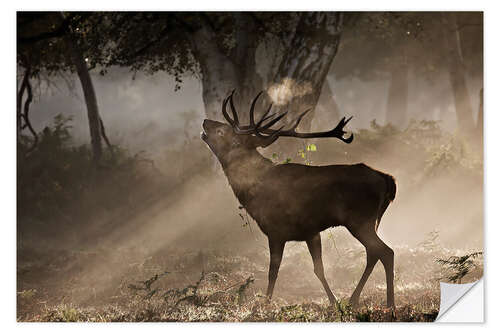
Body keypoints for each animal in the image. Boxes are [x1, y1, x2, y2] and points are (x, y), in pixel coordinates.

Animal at [201, 90, 396, 306]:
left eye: (223, 132)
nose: (206, 122)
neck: (255, 192)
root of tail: (387, 179)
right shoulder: (311, 232)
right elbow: (319, 270)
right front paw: (333, 303)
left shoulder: (275, 230)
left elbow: (273, 271)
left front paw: (265, 305)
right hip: (369, 221)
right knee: (374, 253)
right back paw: (354, 300)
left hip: (360, 219)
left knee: (385, 252)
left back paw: (390, 304)